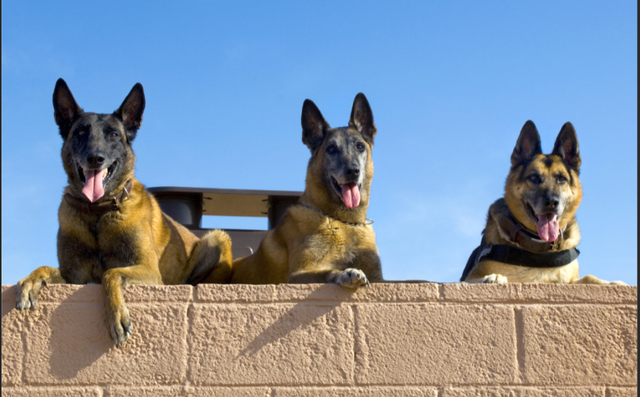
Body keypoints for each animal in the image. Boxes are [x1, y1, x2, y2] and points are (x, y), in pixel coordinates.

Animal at [15, 79, 232, 344]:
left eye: (114, 134)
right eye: (80, 133)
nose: (95, 158)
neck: (98, 213)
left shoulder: (149, 271)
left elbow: (112, 273)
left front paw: (116, 316)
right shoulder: (73, 276)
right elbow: (45, 267)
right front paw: (30, 280)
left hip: (217, 237)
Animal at [218, 93, 382, 284]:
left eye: (360, 146)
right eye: (331, 149)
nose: (353, 171)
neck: (343, 221)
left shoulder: (380, 278)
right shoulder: (299, 274)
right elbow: (326, 272)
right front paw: (345, 273)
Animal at [462, 120, 628, 284]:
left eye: (561, 179)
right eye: (534, 178)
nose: (552, 203)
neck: (538, 247)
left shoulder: (570, 281)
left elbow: (589, 277)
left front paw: (613, 283)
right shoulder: (467, 279)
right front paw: (494, 277)